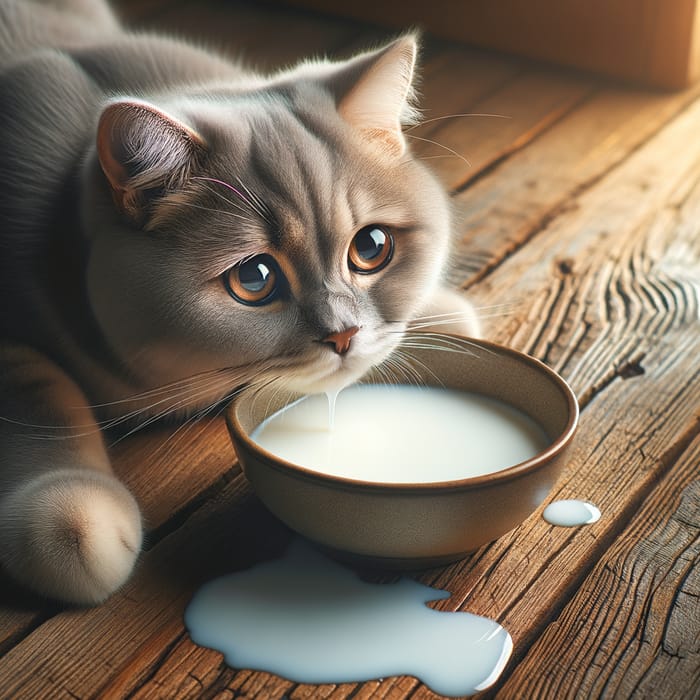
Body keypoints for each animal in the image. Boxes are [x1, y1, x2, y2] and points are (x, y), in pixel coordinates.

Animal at [0, 0, 476, 604]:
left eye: (371, 247)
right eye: (254, 278)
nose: (344, 335)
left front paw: (441, 316)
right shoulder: (14, 344)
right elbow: (36, 397)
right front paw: (70, 519)